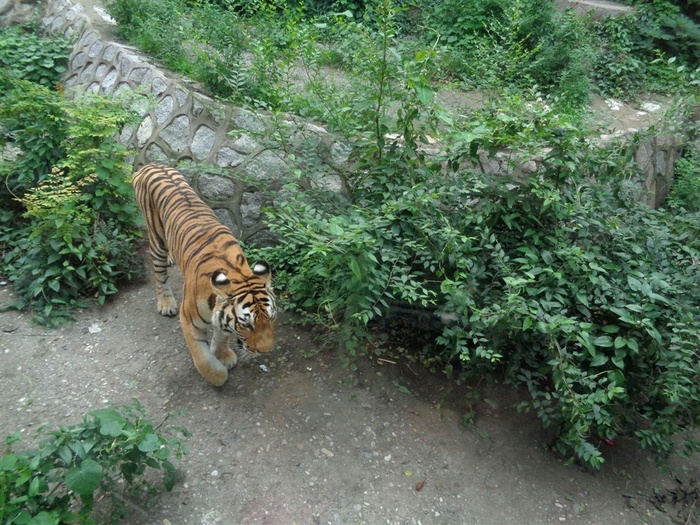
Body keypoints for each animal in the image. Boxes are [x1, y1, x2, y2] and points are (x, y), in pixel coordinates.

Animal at [132, 163, 276, 386]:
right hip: (156, 238)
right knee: (159, 273)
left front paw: (224, 355)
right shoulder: (188, 320)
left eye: (270, 319)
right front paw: (219, 375)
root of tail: (151, 164)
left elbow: (221, 336)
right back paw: (165, 303)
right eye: (246, 324)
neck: (237, 273)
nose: (265, 351)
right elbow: (203, 359)